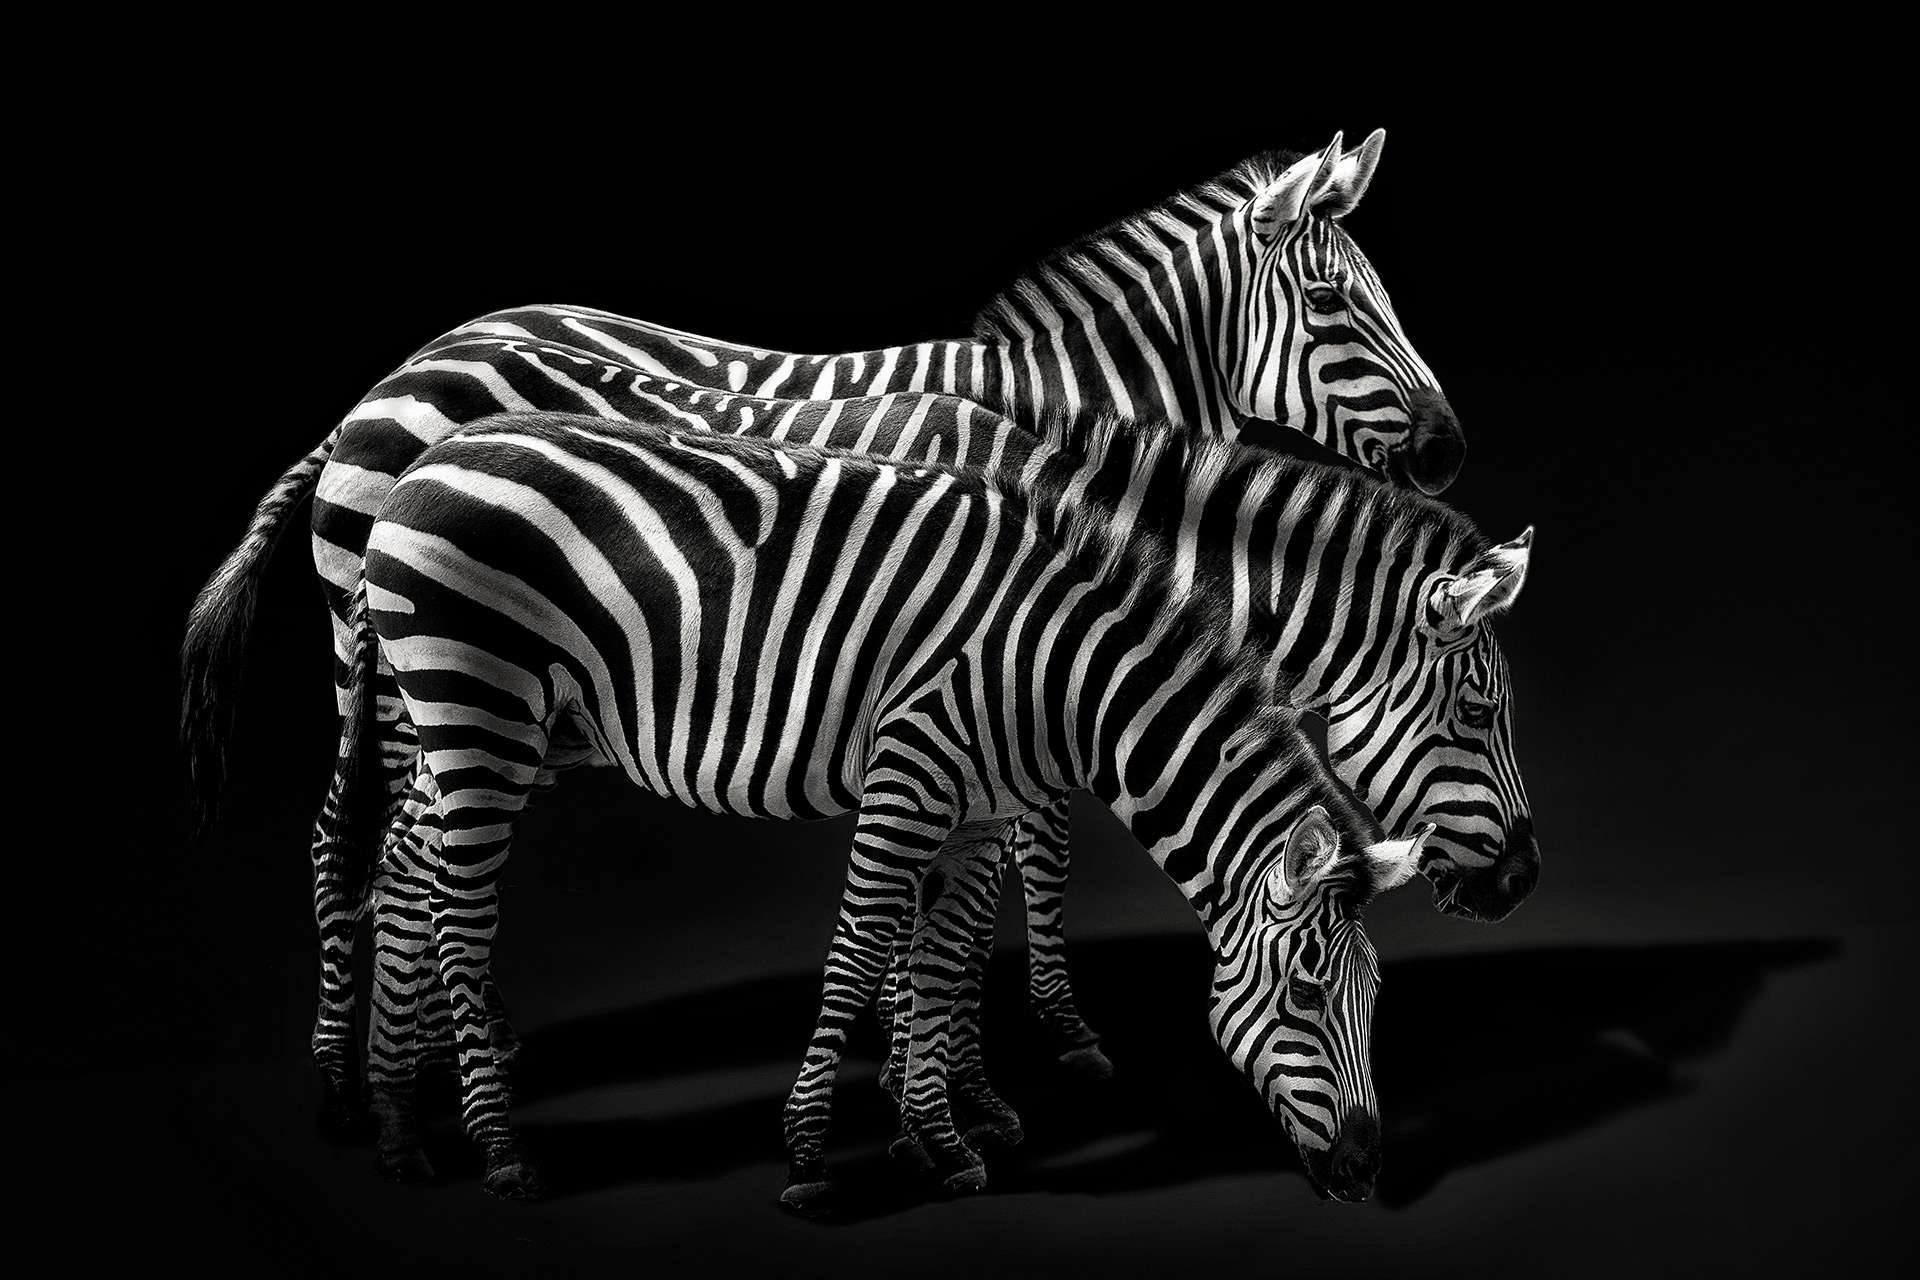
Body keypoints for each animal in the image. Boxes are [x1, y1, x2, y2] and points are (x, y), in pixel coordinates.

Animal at [180, 130, 1479, 1117]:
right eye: (1332, 302)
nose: (1449, 450)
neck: (1063, 421)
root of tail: (380, 387)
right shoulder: (1002, 642)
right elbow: (1037, 846)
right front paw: (1045, 1038)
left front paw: (933, 1055)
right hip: (413, 666)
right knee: (366, 842)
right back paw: (359, 1070)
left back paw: (454, 1042)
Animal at [346, 409, 1434, 1207]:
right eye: (1305, 993)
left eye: (1377, 995)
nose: (1364, 1174)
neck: (1053, 669)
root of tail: (423, 464)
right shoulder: (907, 775)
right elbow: (862, 948)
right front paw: (811, 1151)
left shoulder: (984, 810)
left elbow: (945, 959)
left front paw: (938, 1137)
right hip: (477, 706)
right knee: (457, 910)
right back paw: (497, 1145)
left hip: (498, 726)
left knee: (400, 869)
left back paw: (396, 1118)